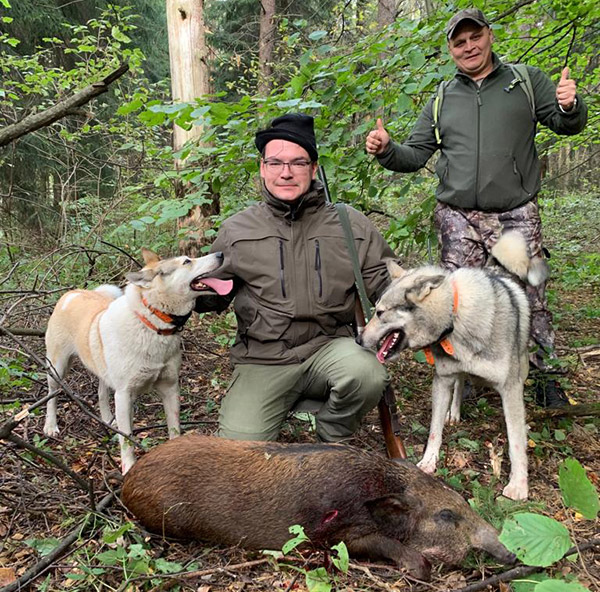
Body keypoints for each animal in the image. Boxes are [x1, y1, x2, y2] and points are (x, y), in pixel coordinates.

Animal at [358, 231, 552, 500]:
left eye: (380, 313)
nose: (358, 339)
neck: (455, 316)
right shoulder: (442, 380)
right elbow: (434, 430)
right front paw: (428, 463)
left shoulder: (510, 388)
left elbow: (515, 442)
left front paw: (518, 485)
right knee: (460, 383)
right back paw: (455, 411)